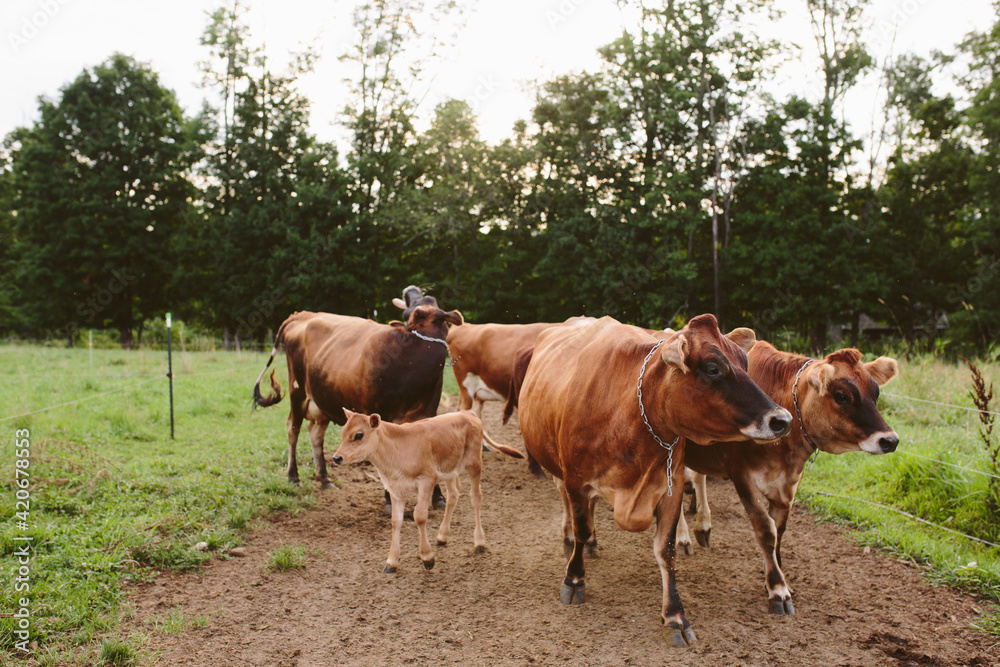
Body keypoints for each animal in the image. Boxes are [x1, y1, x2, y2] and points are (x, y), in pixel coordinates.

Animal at [251, 286, 463, 491]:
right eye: (413, 314)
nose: (411, 289)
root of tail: (302, 314)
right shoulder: (379, 413)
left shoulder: (428, 412)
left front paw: (437, 496)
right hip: (297, 391)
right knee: (293, 428)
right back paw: (293, 476)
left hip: (323, 397)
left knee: (316, 433)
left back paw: (324, 478)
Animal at [334, 409, 524, 573]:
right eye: (342, 433)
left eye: (358, 435)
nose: (336, 457)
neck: (397, 449)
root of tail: (467, 413)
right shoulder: (395, 489)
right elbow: (396, 521)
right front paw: (391, 561)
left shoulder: (427, 480)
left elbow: (419, 516)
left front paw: (427, 557)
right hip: (449, 469)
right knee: (453, 495)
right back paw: (442, 535)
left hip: (474, 463)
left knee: (476, 498)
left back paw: (479, 542)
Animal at [513, 314, 793, 647]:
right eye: (712, 368)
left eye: (745, 363)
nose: (782, 420)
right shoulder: (576, 480)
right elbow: (581, 528)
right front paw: (574, 578)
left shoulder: (670, 488)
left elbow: (666, 551)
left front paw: (674, 616)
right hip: (557, 467)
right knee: (571, 511)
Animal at [678, 342, 899, 615]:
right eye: (842, 396)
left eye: (875, 394)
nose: (890, 440)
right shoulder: (742, 476)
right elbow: (766, 531)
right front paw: (777, 589)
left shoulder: (788, 485)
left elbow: (779, 532)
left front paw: (775, 575)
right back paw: (683, 538)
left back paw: (702, 525)